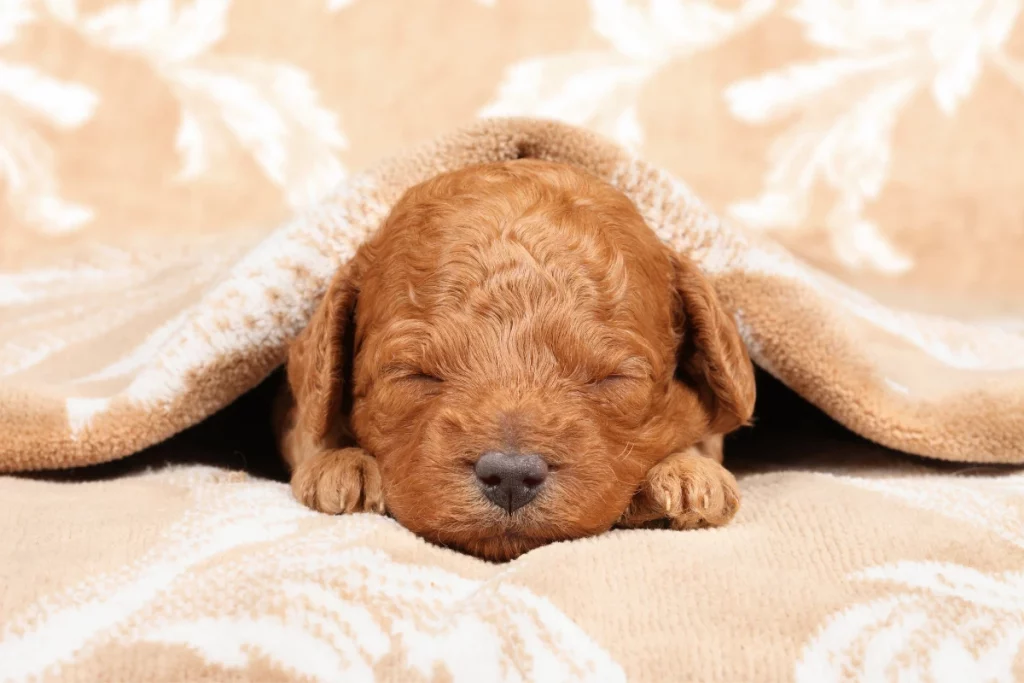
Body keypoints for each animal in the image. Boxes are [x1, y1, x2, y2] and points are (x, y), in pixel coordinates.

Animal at [276, 160, 757, 561]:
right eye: (415, 375)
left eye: (612, 378)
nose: (510, 475)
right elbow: (310, 428)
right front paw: (340, 465)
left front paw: (690, 473)